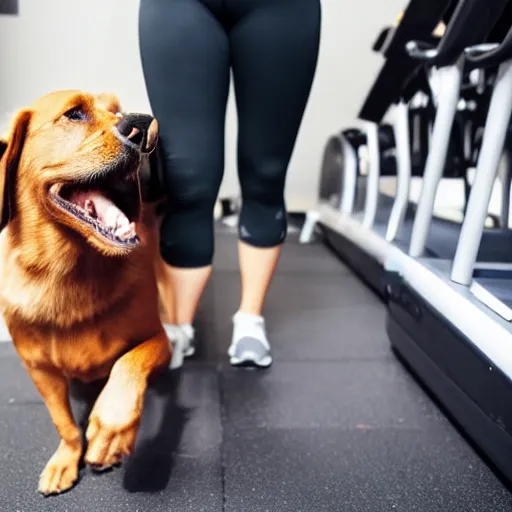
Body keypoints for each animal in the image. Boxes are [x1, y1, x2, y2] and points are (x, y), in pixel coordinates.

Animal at [0, 91, 174, 496]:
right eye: (75, 114)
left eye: (117, 111)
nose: (145, 126)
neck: (68, 274)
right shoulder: (39, 370)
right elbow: (64, 423)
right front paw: (67, 459)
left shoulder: (158, 340)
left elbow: (129, 363)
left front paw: (112, 427)